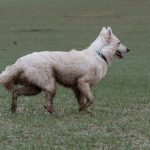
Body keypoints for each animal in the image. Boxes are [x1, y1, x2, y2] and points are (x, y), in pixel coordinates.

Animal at [0, 26, 129, 115]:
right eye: (119, 42)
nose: (128, 49)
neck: (100, 53)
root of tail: (20, 61)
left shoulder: (77, 86)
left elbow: (82, 100)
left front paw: (83, 111)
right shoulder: (83, 82)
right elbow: (91, 99)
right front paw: (84, 109)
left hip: (35, 87)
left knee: (15, 92)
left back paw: (13, 109)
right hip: (49, 84)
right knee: (46, 103)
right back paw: (55, 114)